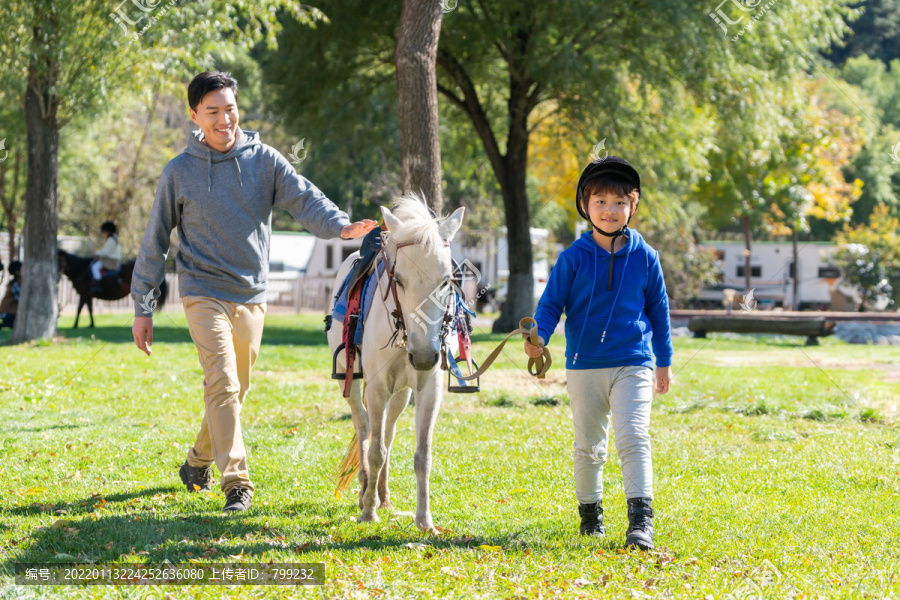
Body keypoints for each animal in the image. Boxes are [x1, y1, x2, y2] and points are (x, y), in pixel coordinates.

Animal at [328, 194, 465, 533]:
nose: (425, 355)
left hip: (402, 393)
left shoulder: (429, 388)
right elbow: (375, 451)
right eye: (398, 280)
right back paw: (367, 491)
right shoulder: (376, 387)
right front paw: (368, 513)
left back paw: (383, 497)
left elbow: (422, 456)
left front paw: (424, 520)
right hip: (351, 380)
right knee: (365, 427)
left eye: (447, 281)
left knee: (387, 433)